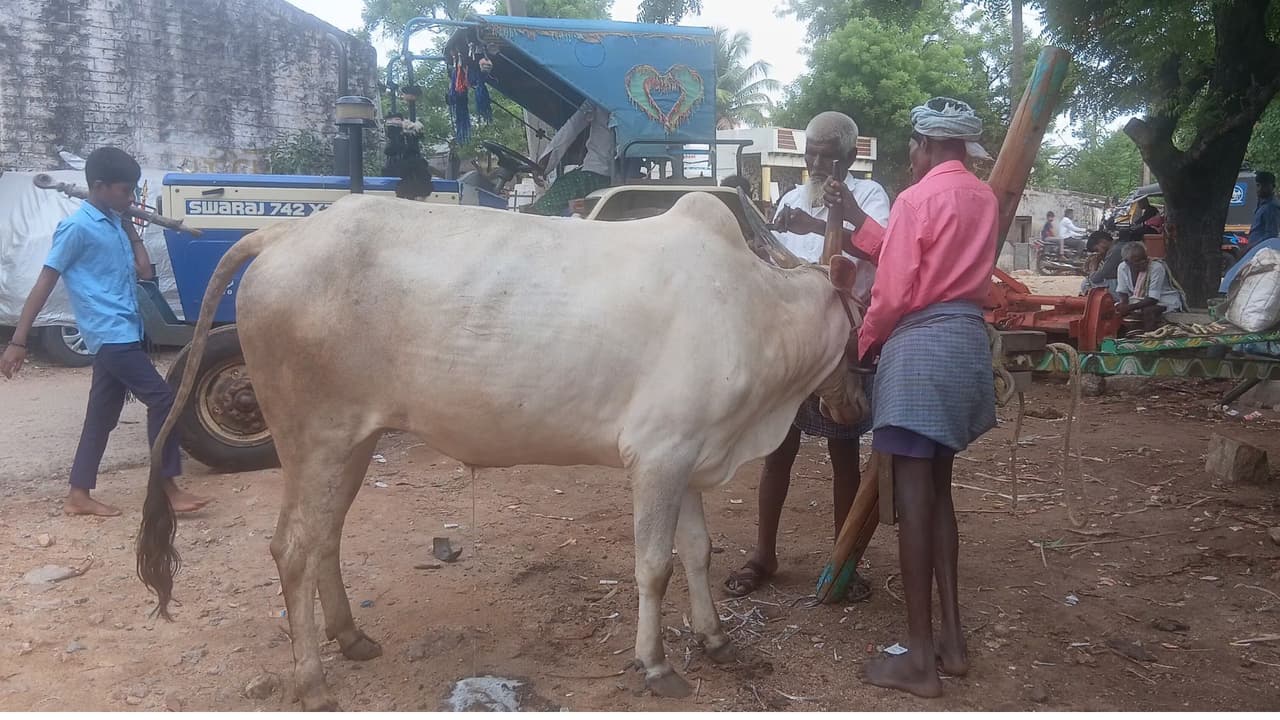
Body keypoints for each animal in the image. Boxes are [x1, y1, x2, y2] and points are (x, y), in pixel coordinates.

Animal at [137, 191, 868, 710]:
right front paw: (655, 662)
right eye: (864, 317)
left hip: (351, 443)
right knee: (291, 548)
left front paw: (715, 639)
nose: (857, 408)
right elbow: (654, 566)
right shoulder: (658, 456)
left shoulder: (689, 454)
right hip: (314, 438)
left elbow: (697, 552)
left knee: (323, 541)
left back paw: (351, 638)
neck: (755, 311)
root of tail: (283, 233)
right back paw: (313, 678)